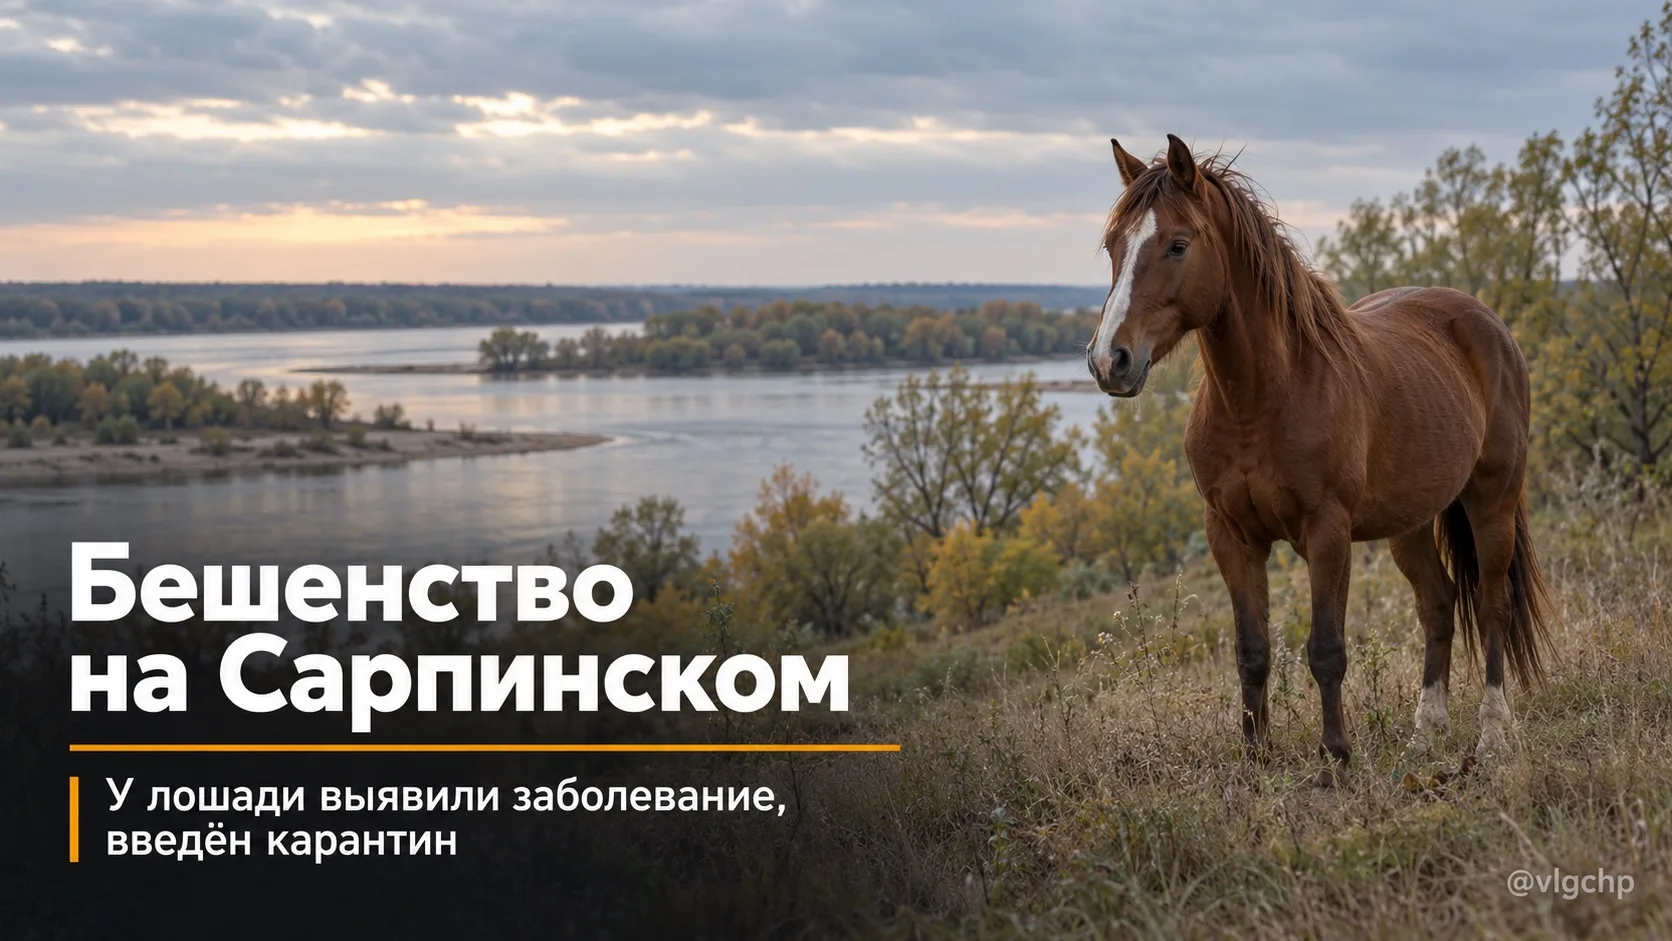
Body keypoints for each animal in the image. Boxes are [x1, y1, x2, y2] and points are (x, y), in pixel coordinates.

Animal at [1086, 134, 1551, 783]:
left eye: (1178, 244)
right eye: (1114, 246)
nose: (1110, 361)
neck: (1262, 399)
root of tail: (1484, 322)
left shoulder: (1326, 532)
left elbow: (1326, 650)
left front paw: (1334, 758)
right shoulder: (1230, 535)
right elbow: (1251, 651)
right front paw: (1255, 758)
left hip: (1492, 503)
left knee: (1491, 608)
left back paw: (1491, 738)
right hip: (1408, 524)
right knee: (1438, 607)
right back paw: (1423, 739)